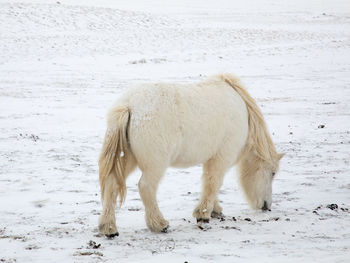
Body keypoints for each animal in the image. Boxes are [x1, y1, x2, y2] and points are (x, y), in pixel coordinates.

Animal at [97, 73, 284, 237]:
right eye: (273, 173)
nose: (266, 206)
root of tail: (129, 105)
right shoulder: (221, 157)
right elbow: (213, 182)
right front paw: (203, 213)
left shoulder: (211, 158)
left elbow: (211, 183)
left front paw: (214, 210)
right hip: (155, 164)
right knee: (146, 187)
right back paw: (159, 224)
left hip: (128, 158)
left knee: (112, 184)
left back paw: (109, 228)